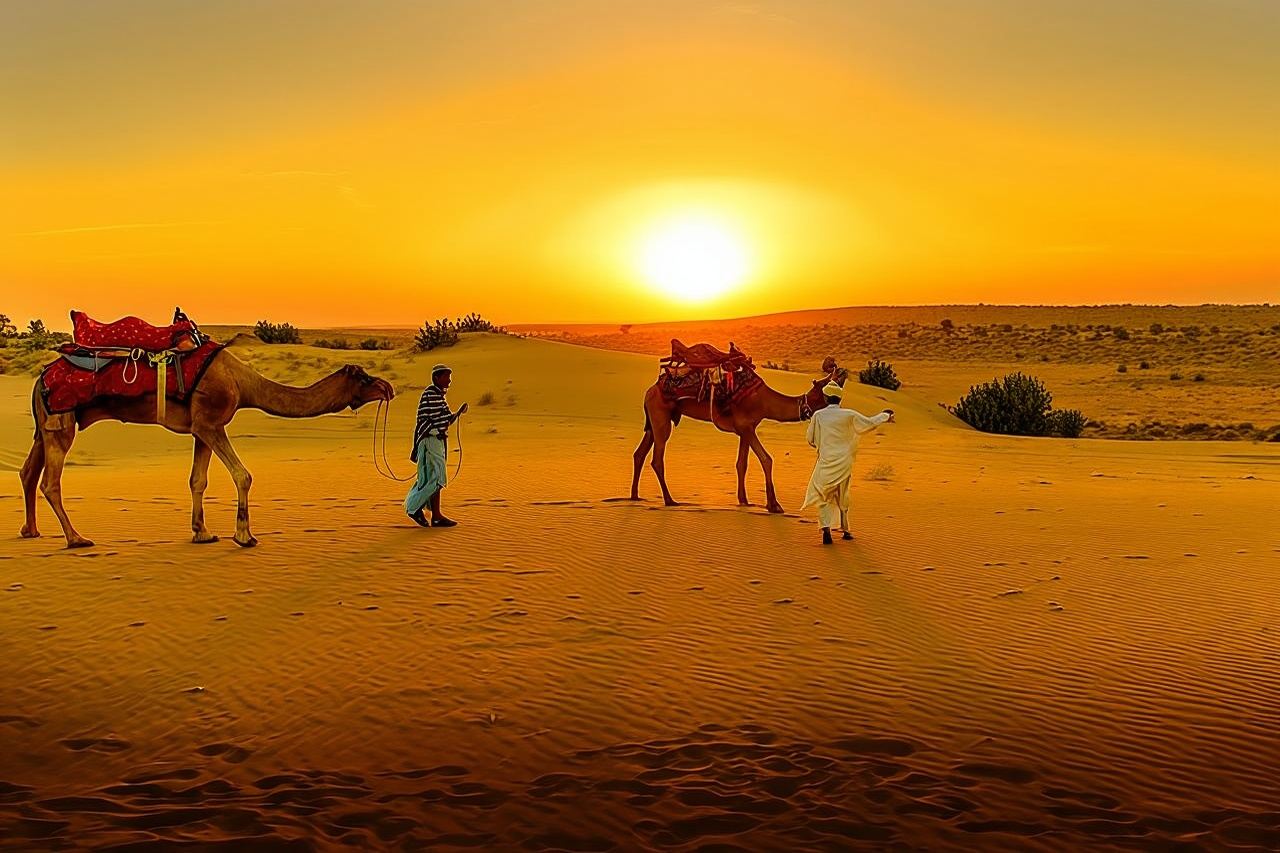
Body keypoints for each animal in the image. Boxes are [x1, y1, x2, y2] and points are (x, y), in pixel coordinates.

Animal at [19, 350, 394, 548]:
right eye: (363, 378)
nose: (388, 388)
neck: (243, 384)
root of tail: (41, 377)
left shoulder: (201, 428)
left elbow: (197, 480)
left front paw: (202, 532)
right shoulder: (212, 423)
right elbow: (243, 475)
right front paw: (244, 535)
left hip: (45, 428)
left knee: (28, 473)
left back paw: (31, 531)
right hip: (61, 424)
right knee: (50, 482)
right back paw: (76, 538)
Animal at [630, 369, 832, 514]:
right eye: (824, 392)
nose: (841, 371)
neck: (765, 402)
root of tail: (650, 390)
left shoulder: (746, 429)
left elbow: (742, 464)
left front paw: (744, 500)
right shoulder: (746, 427)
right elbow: (766, 459)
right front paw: (774, 505)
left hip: (653, 422)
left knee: (639, 454)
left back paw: (634, 496)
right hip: (661, 418)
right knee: (657, 459)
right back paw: (670, 500)